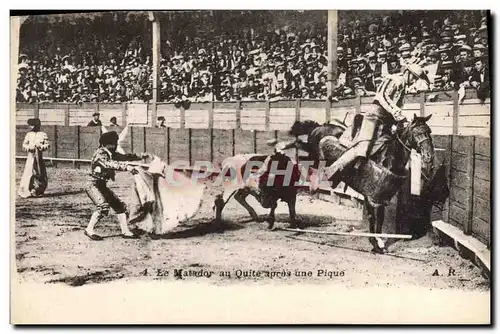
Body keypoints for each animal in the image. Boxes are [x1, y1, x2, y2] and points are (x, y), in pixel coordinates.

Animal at [286, 113, 438, 254]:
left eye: (429, 131)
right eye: (417, 132)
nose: (429, 156)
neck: (390, 156)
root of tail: (319, 126)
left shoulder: (380, 198)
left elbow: (379, 219)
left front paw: (379, 245)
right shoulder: (370, 197)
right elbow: (373, 218)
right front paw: (375, 244)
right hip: (316, 156)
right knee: (305, 158)